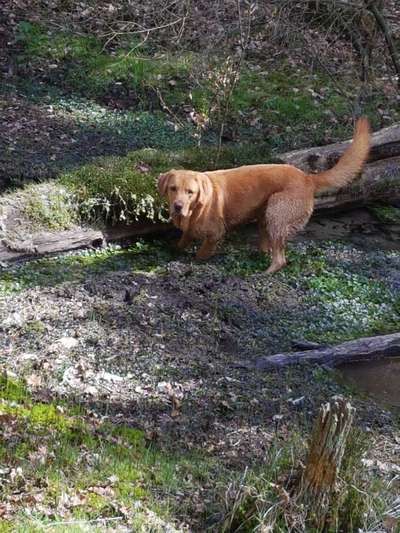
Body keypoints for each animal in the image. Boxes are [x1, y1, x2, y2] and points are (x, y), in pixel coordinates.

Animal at [158, 118, 370, 272]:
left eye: (190, 192)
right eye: (173, 188)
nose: (177, 206)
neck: (195, 209)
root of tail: (307, 178)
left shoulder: (214, 235)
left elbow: (200, 254)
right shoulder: (188, 232)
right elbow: (182, 241)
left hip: (276, 212)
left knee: (280, 259)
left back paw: (263, 273)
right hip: (265, 217)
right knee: (267, 248)